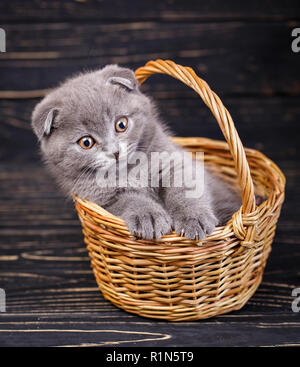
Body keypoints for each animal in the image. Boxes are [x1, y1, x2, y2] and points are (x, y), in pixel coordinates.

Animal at [31, 64, 241, 242]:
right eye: (86, 142)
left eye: (121, 124)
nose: (115, 152)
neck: (130, 170)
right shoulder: (99, 197)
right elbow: (130, 199)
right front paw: (149, 217)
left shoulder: (175, 162)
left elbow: (184, 187)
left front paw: (193, 218)